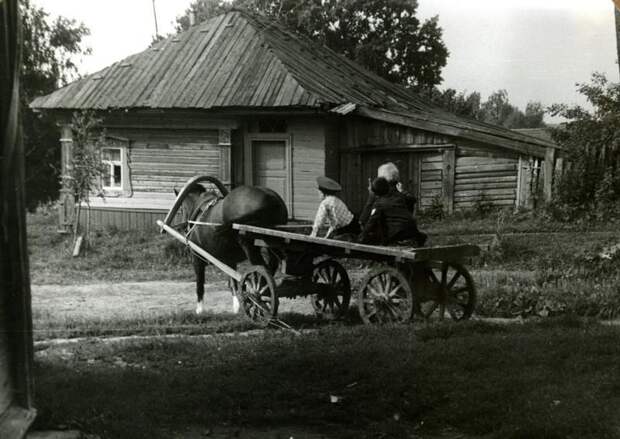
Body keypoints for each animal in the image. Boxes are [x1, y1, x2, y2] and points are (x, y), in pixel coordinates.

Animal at [167, 176, 288, 316]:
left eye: (181, 209)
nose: (182, 227)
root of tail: (270, 198)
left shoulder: (197, 258)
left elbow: (200, 284)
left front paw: (199, 310)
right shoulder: (229, 259)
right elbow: (232, 282)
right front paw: (236, 306)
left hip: (249, 246)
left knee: (261, 269)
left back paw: (258, 296)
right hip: (272, 242)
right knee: (273, 263)